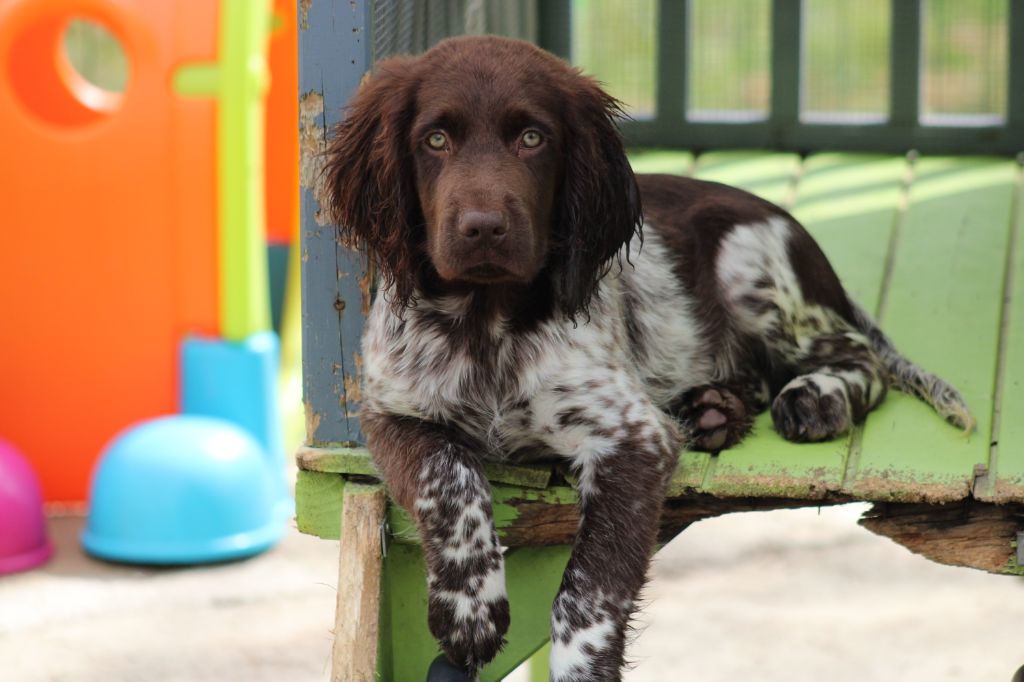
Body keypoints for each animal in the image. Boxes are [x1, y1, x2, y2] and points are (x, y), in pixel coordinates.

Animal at [323, 35, 970, 679]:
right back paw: (713, 409)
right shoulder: (391, 414)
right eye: (435, 140)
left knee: (859, 357)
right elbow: (447, 477)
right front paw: (468, 609)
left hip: (751, 267)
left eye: (532, 138)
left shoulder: (632, 437)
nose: (484, 228)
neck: (486, 323)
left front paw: (581, 663)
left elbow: (591, 579)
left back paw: (814, 398)